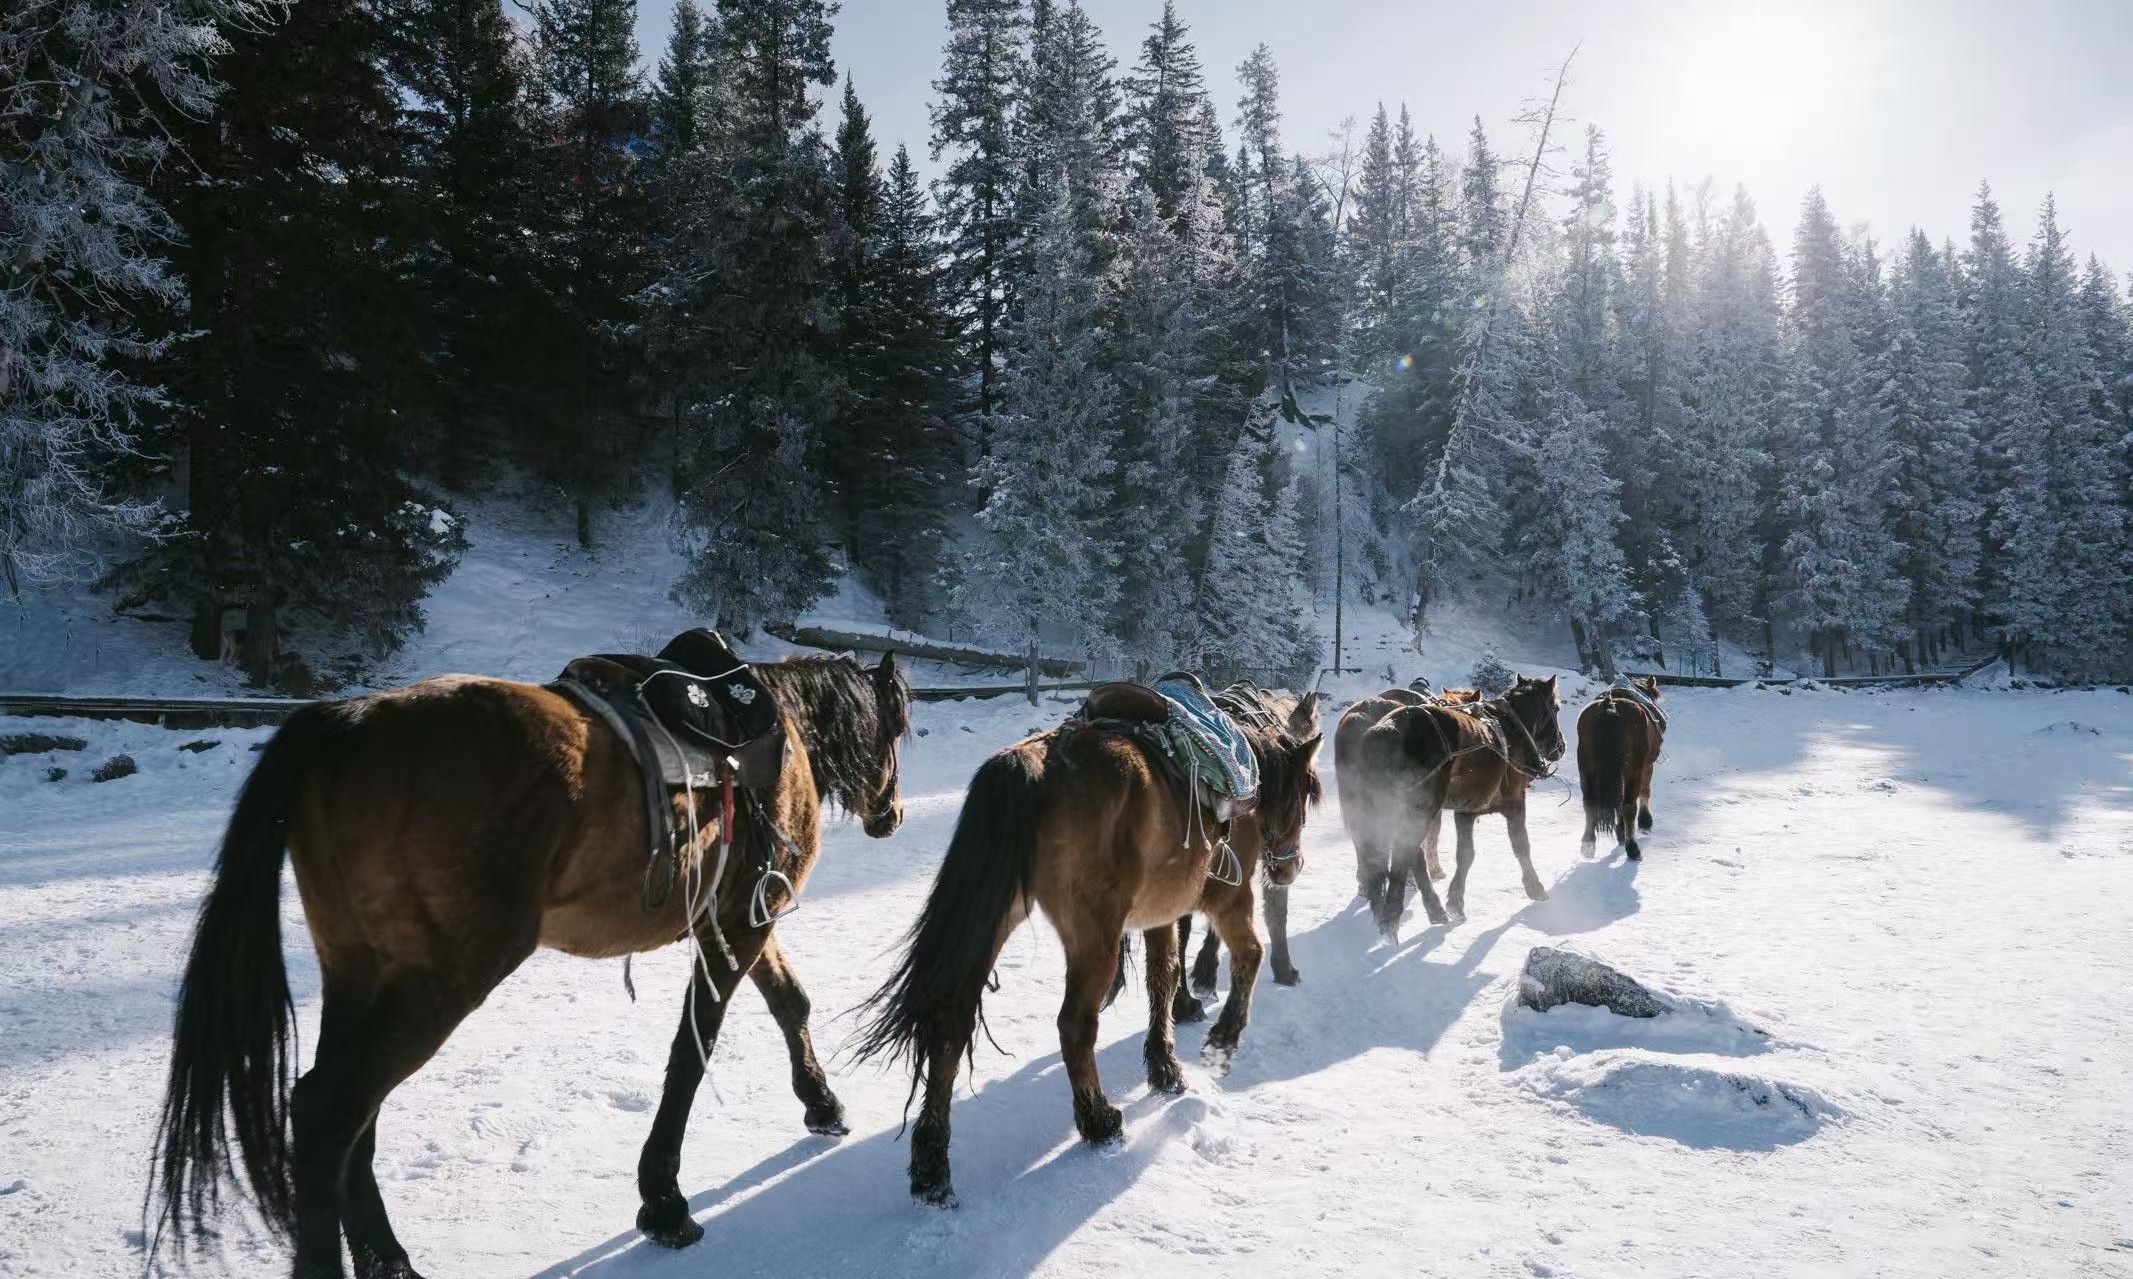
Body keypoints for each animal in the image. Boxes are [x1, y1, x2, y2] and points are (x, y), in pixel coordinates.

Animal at [149, 652, 911, 1279]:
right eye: (900, 728)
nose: (894, 815)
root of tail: (348, 723)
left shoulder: (737, 919)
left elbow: (789, 1001)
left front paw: (822, 1102)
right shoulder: (741, 922)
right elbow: (692, 1054)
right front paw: (664, 1201)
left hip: (358, 972)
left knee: (349, 1113)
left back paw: (387, 1261)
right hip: (440, 980)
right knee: (326, 1109)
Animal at [852, 697, 1323, 1209]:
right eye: (1306, 792)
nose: (1292, 867)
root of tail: (1035, 767)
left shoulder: (1158, 916)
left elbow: (1163, 979)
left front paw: (1165, 1068)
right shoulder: (1227, 896)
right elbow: (1247, 956)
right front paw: (1223, 1039)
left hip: (995, 920)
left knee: (951, 1027)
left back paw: (932, 1170)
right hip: (1094, 936)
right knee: (1074, 1025)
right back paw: (1098, 1120)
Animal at [1345, 675, 1566, 937]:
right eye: (1556, 708)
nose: (1561, 747)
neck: (1511, 732)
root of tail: (1386, 730)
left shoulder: (1466, 811)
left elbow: (1466, 855)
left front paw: (1456, 902)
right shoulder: (1515, 802)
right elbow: (1521, 846)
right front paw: (1535, 887)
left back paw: (1426, 910)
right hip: (1418, 811)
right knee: (1404, 856)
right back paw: (1393, 917)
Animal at [1577, 676, 1666, 859]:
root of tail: (1610, 707)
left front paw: (1620, 832)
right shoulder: (1647, 766)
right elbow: (1645, 791)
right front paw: (1645, 823)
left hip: (1586, 768)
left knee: (1590, 803)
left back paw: (1588, 843)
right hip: (1633, 770)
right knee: (1629, 806)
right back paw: (1632, 847)